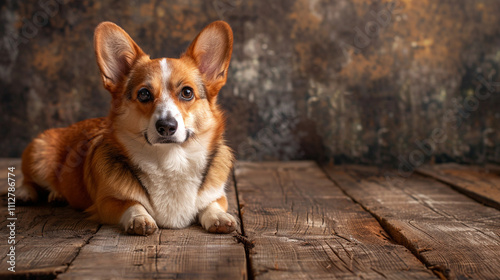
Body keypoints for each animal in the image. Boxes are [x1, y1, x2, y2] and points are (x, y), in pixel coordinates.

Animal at [18, 20, 237, 235]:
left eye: (187, 92)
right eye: (144, 94)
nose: (166, 126)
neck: (170, 158)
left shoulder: (217, 195)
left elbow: (212, 204)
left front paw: (219, 217)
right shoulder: (107, 202)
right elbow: (132, 204)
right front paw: (139, 218)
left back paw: (57, 194)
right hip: (38, 153)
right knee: (28, 180)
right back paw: (26, 194)